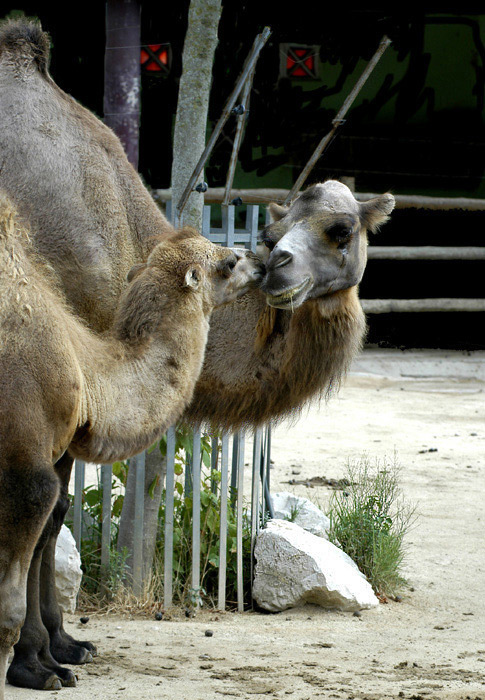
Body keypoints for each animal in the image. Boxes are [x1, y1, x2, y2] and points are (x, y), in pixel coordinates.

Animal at [0, 196, 260, 696]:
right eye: (226, 262)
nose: (259, 262)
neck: (85, 376)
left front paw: (55, 656)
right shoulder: (24, 467)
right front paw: (38, 669)